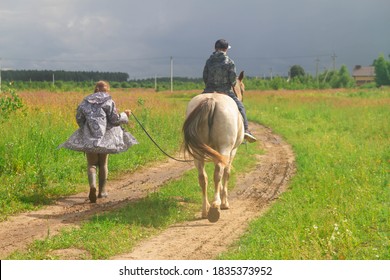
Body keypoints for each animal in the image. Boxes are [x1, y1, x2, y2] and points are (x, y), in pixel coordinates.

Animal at [182, 71, 244, 222]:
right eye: (243, 89)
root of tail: (211, 100)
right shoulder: (232, 151)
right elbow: (226, 173)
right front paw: (224, 202)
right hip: (225, 148)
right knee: (218, 173)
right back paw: (215, 207)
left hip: (198, 153)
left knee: (202, 177)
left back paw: (205, 210)